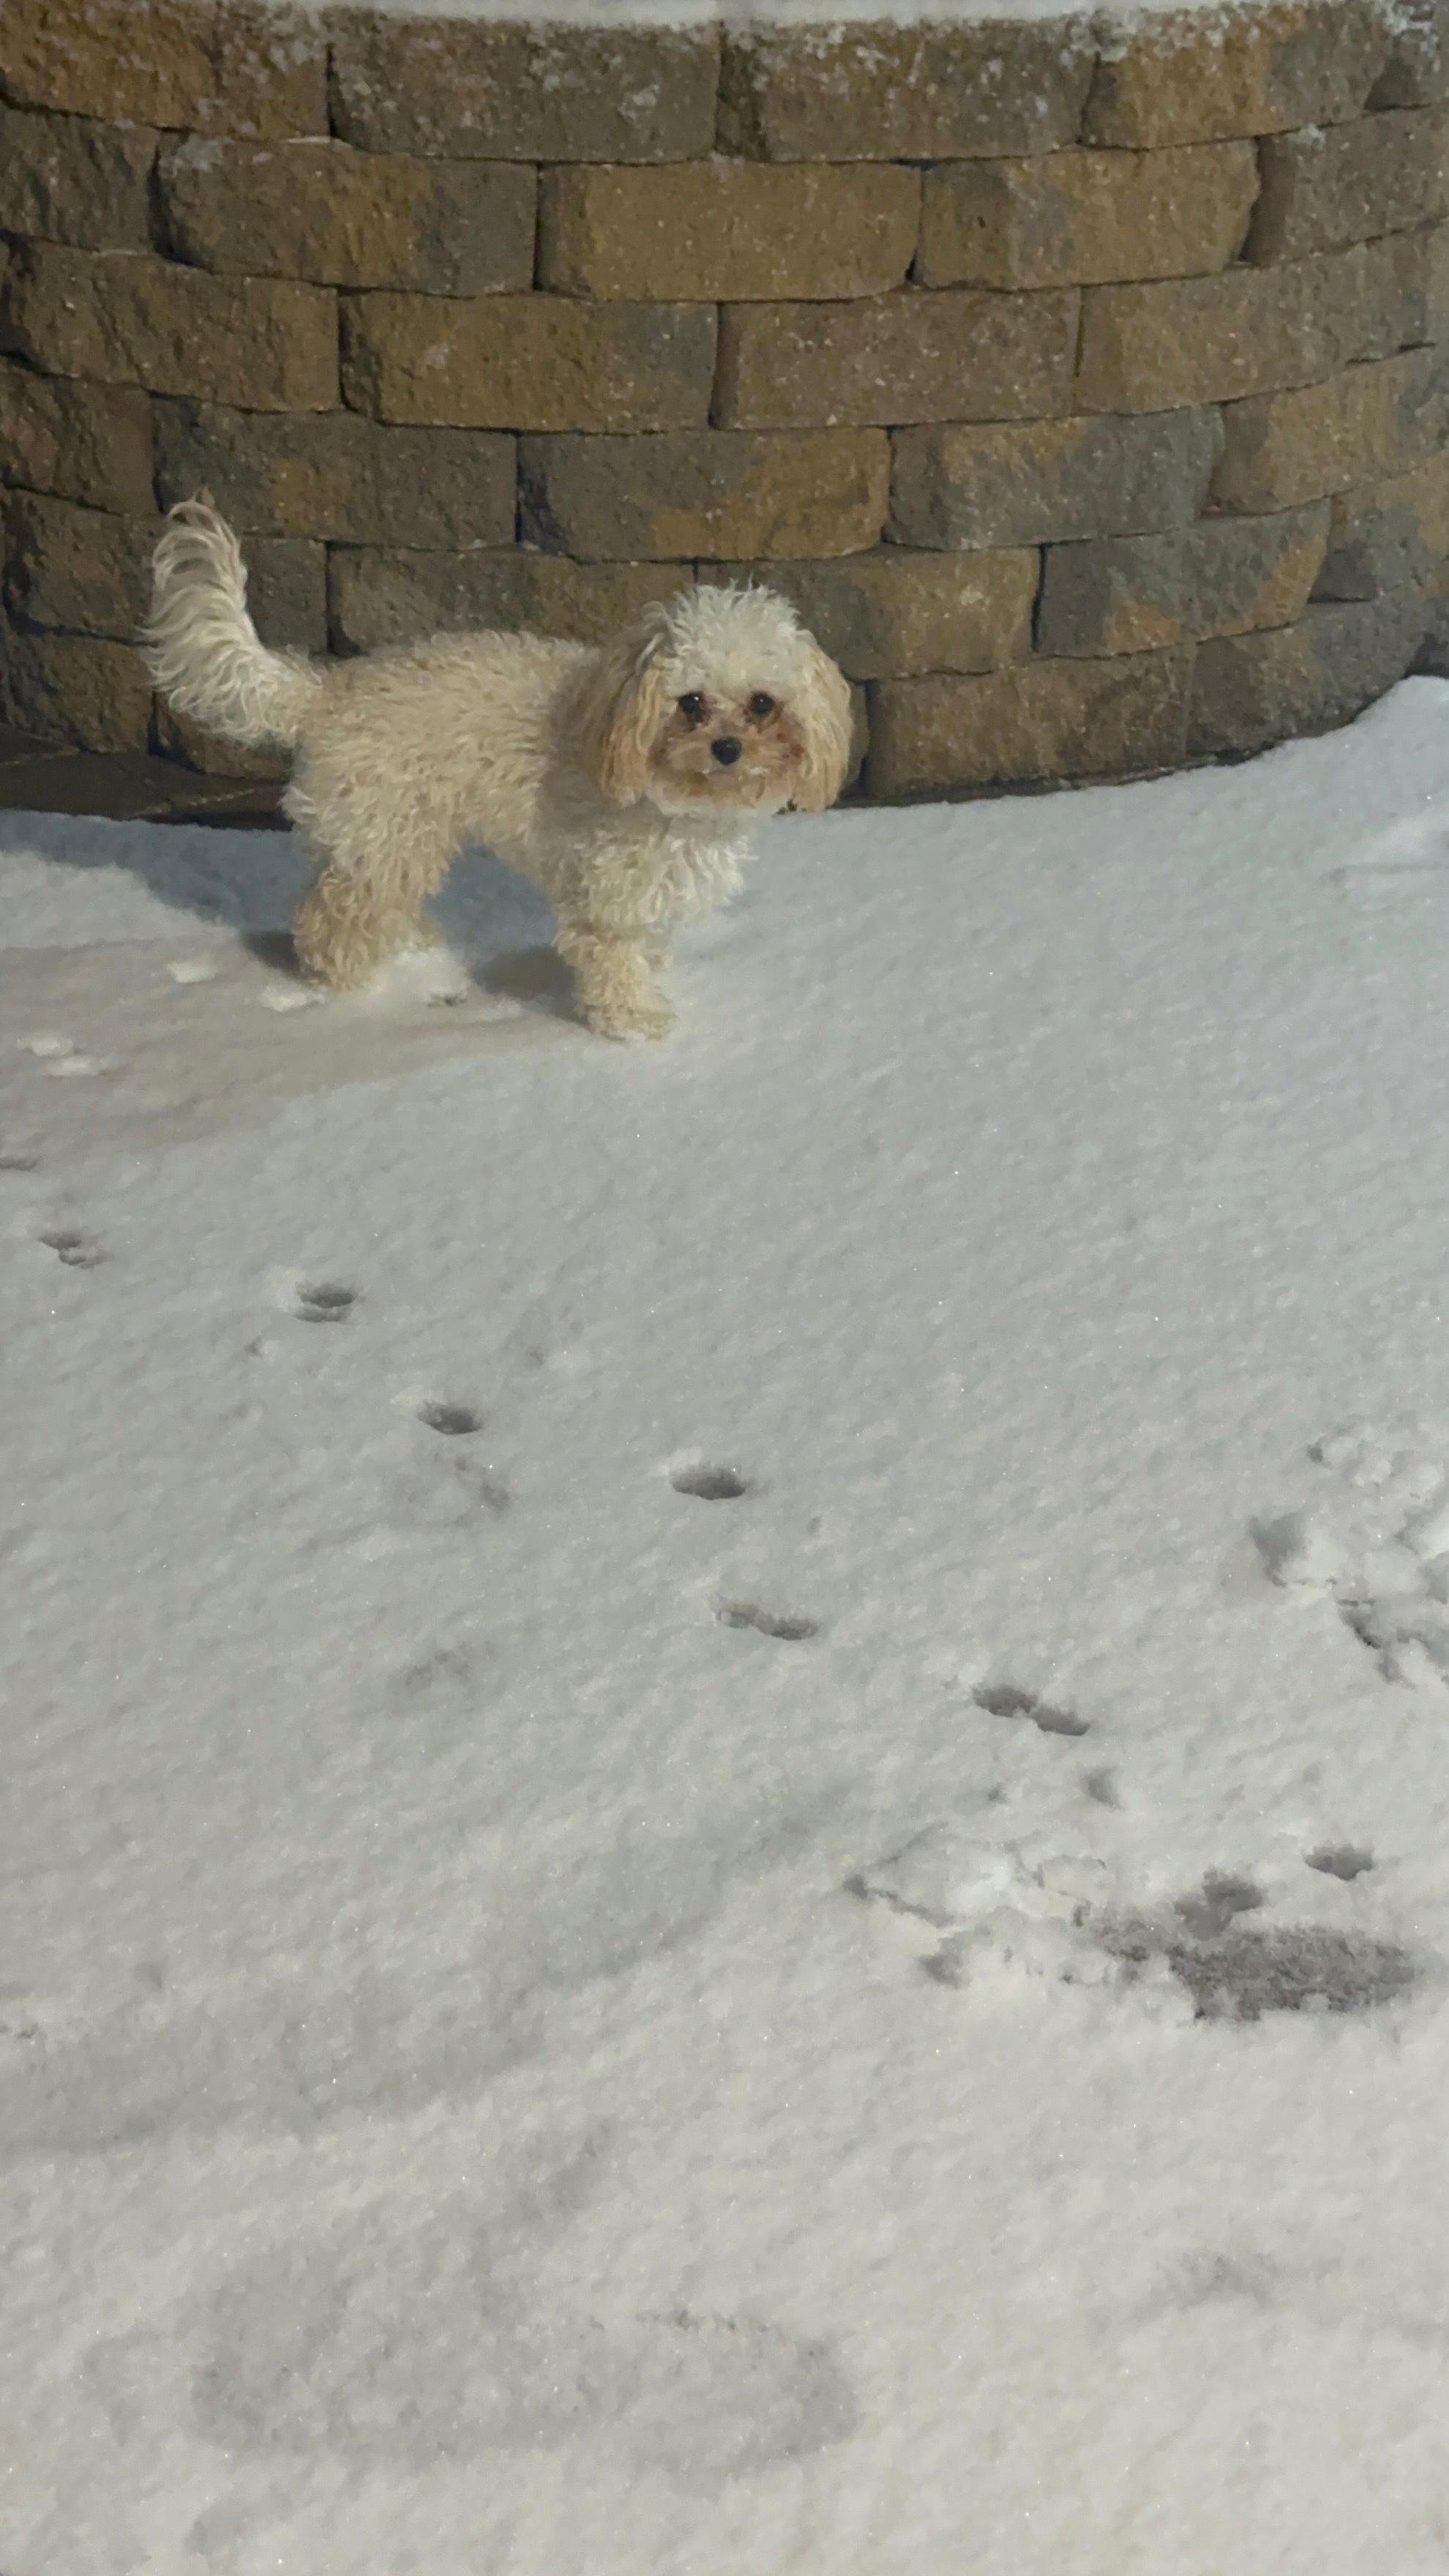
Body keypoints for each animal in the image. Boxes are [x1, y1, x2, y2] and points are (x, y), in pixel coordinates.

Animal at [141, 502, 850, 1036]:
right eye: (692, 703)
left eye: (762, 704)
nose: (728, 748)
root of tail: (325, 693)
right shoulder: (606, 891)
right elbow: (612, 960)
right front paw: (634, 1020)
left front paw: (653, 969)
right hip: (388, 833)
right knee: (330, 918)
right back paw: (353, 991)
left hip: (382, 838)